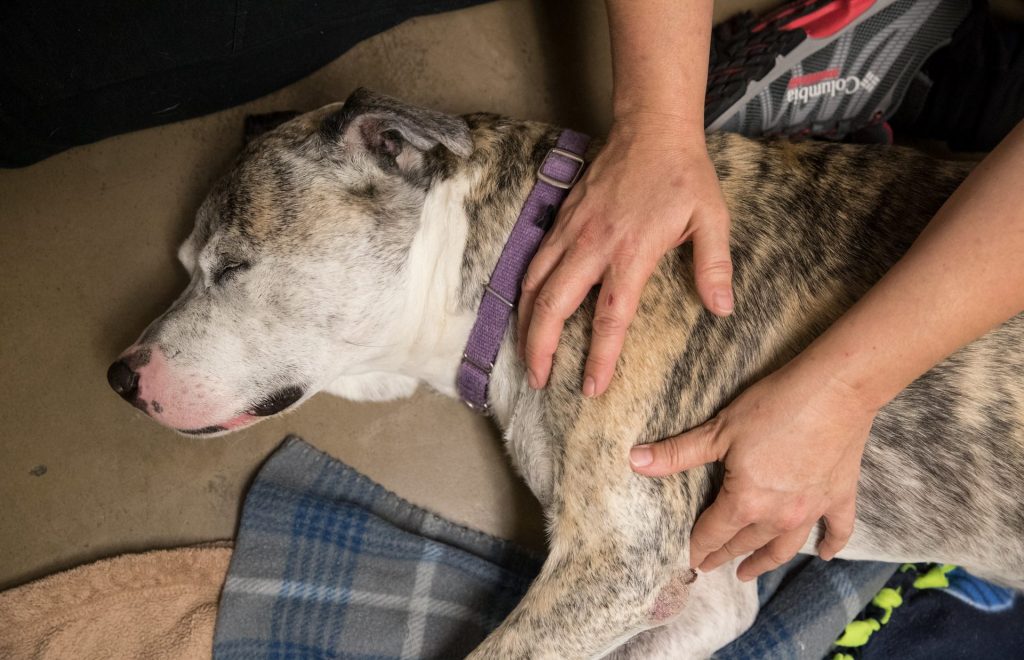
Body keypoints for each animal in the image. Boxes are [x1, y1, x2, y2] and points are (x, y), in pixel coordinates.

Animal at [108, 90, 1019, 654]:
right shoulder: (703, 591)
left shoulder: (618, 558)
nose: (118, 377)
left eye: (232, 267)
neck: (517, 252)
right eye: (186, 264)